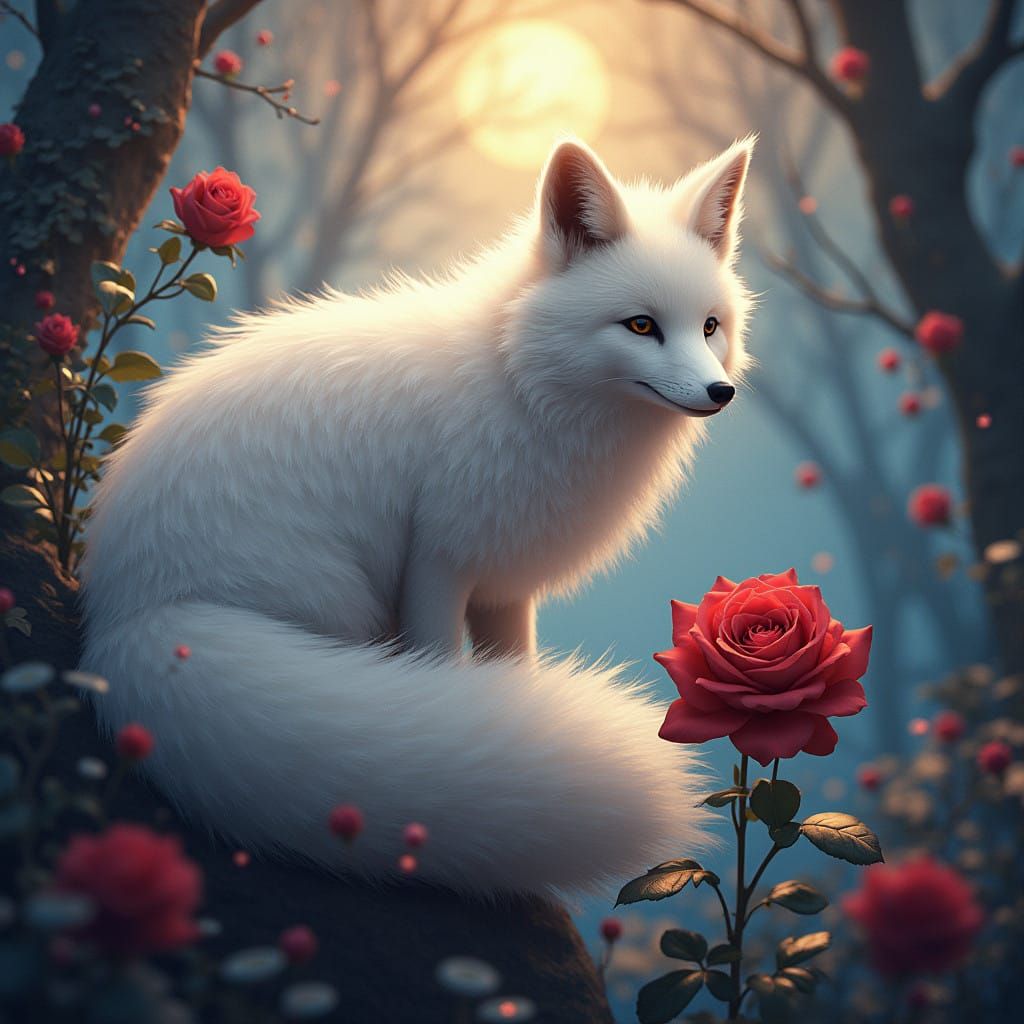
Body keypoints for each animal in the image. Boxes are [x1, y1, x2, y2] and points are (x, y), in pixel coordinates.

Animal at [80, 137, 755, 897]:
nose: (720, 391)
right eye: (641, 325)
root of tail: (124, 619)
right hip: (339, 599)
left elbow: (513, 676)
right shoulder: (438, 560)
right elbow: (440, 662)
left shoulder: (505, 583)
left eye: (709, 326)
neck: (519, 381)